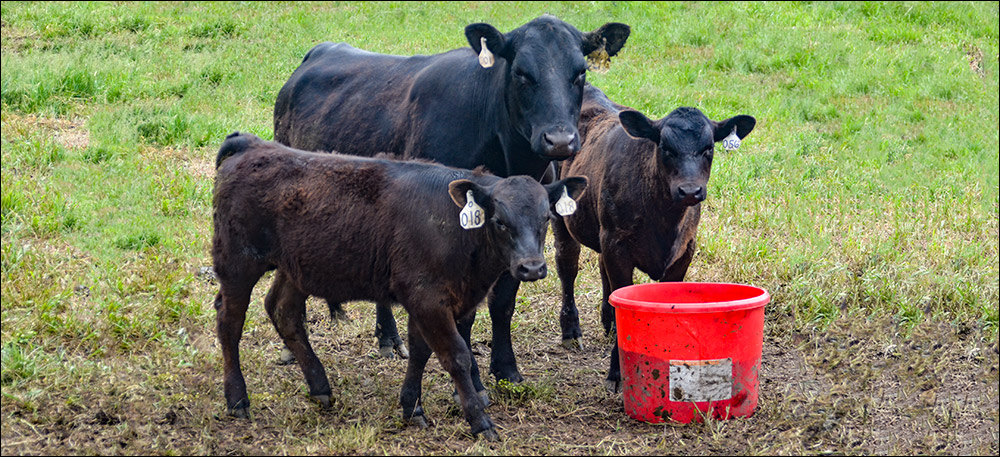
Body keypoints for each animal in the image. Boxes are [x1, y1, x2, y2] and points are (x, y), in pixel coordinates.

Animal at [212, 132, 587, 439]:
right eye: (499, 221)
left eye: (546, 218)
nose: (532, 267)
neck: (454, 227)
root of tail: (252, 145)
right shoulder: (428, 298)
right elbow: (456, 356)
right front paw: (479, 421)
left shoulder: (427, 299)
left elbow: (421, 352)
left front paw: (411, 407)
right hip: (237, 263)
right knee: (229, 323)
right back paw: (237, 399)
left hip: (295, 268)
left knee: (283, 311)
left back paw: (319, 386)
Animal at [271, 14, 630, 384]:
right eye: (521, 72)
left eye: (580, 72)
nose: (559, 140)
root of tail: (321, 51)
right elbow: (462, 314)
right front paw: (470, 372)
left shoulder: (520, 234)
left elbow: (503, 302)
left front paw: (506, 369)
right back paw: (291, 348)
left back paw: (388, 339)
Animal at [551, 83, 756, 392]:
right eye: (665, 147)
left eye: (708, 148)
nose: (690, 191)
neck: (664, 220)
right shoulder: (618, 246)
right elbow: (620, 295)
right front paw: (617, 372)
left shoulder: (684, 250)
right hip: (559, 212)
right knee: (567, 265)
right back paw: (571, 330)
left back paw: (607, 323)